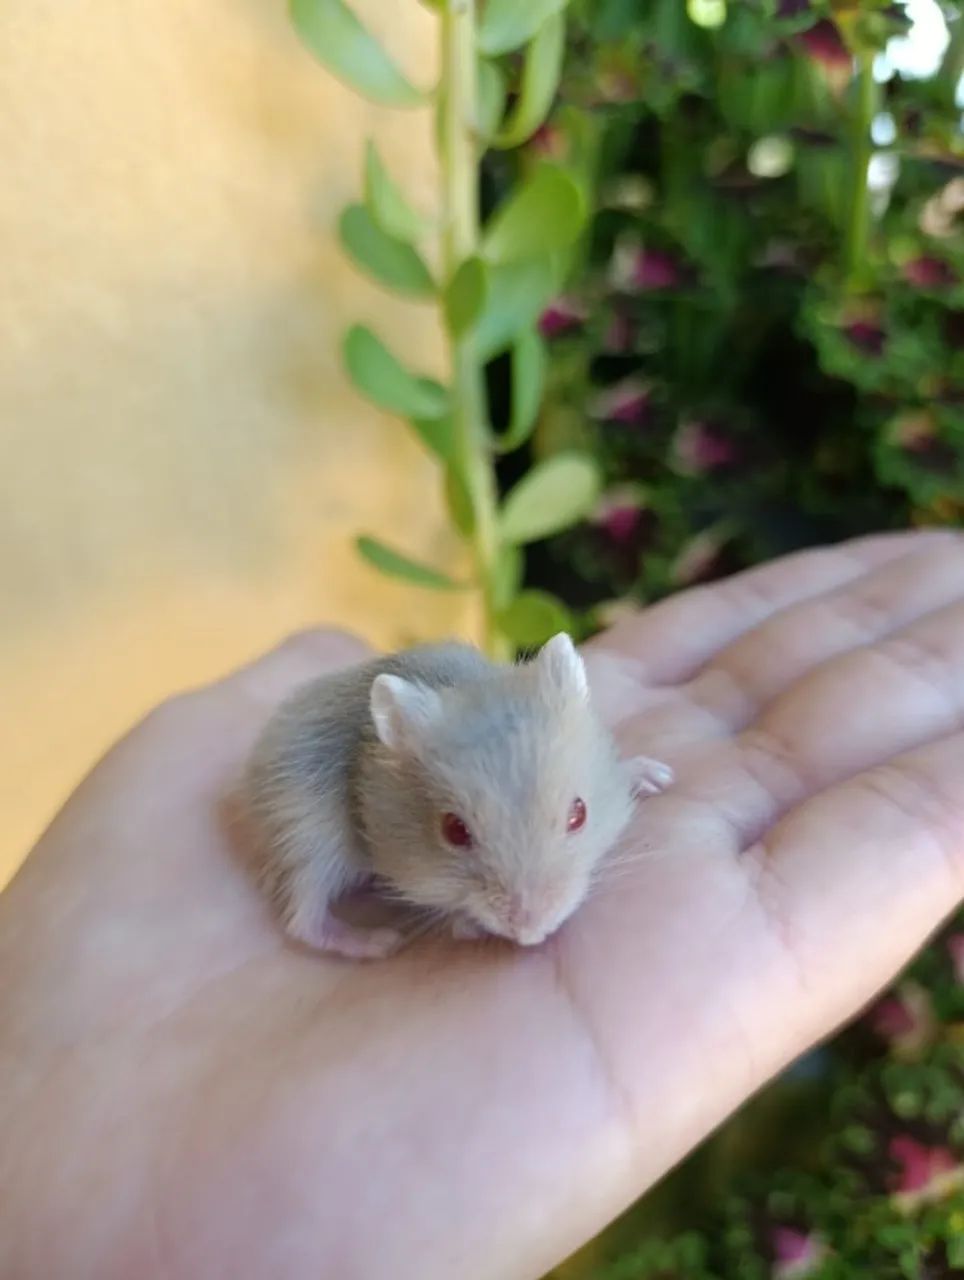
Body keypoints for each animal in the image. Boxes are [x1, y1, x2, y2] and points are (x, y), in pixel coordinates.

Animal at [240, 632, 674, 960]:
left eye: (578, 814)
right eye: (455, 831)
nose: (530, 934)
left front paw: (656, 775)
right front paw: (466, 926)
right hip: (307, 839)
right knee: (303, 919)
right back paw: (379, 942)